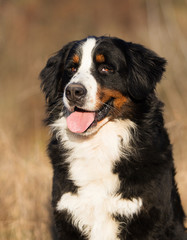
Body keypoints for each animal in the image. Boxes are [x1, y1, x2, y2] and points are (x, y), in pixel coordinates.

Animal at [40, 36, 186, 240]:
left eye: (106, 68)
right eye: (71, 68)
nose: (73, 91)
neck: (97, 146)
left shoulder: (146, 215)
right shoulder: (68, 213)